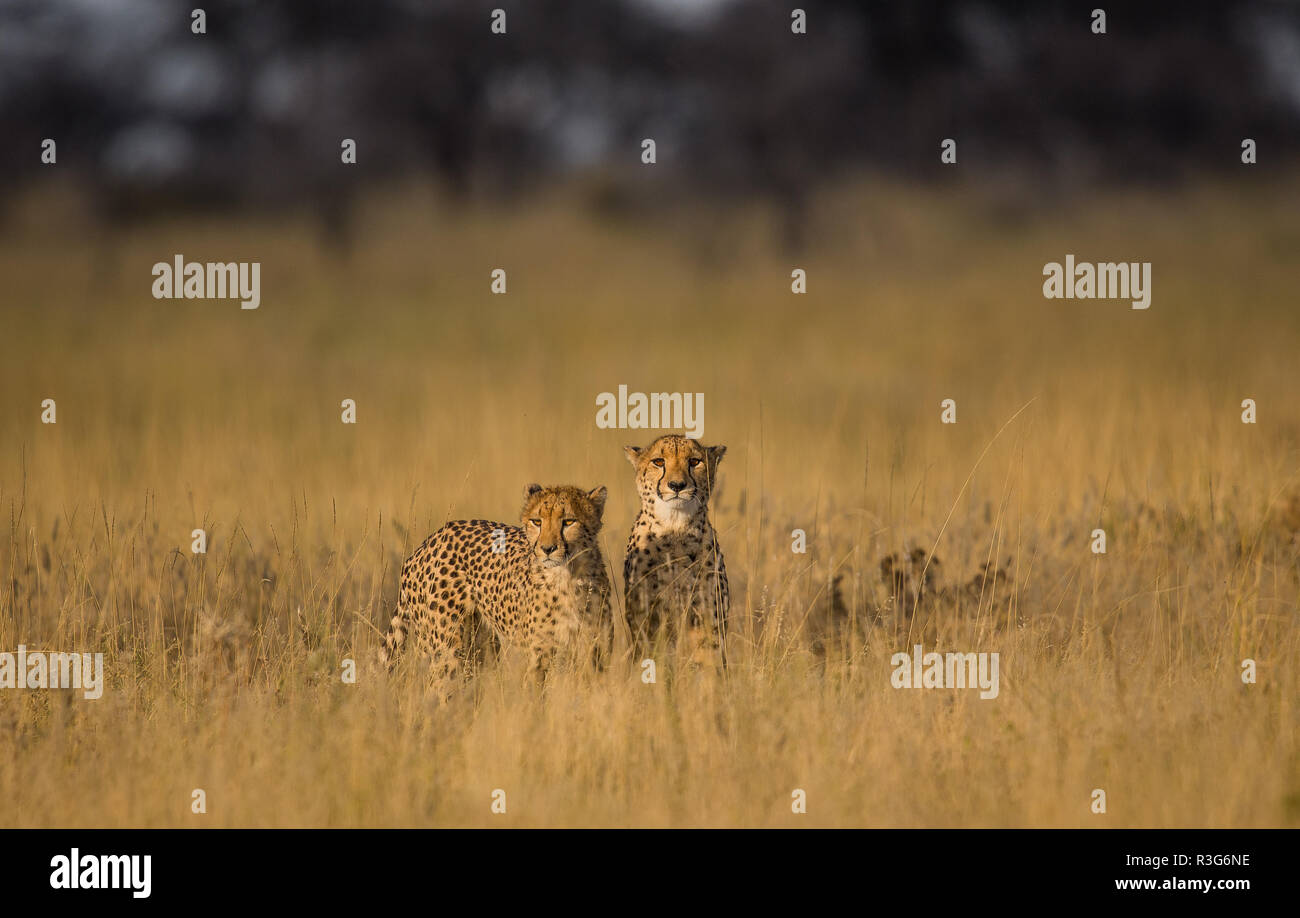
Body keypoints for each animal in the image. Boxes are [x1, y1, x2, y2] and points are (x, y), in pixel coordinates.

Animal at [379, 483, 613, 681]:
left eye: (569, 521)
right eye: (537, 521)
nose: (547, 549)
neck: (568, 576)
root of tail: (428, 542)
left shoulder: (595, 655)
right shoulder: (537, 660)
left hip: (480, 649)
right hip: (445, 649)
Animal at [621, 431, 728, 660]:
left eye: (694, 462)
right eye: (659, 462)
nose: (677, 485)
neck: (675, 527)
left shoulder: (708, 617)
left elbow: (709, 657)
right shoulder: (647, 619)